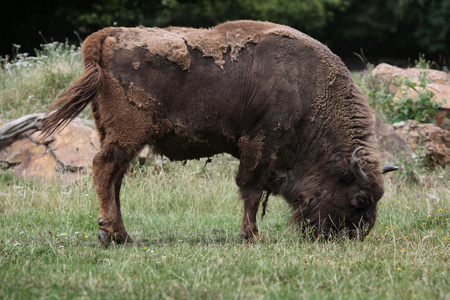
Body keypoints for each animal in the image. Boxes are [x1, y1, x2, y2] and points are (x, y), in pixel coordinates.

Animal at [43, 19, 398, 247]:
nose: (355, 236)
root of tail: (108, 35)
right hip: (129, 132)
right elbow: (250, 191)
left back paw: (122, 235)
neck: (308, 90)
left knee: (114, 178)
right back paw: (112, 234)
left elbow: (254, 192)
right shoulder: (260, 144)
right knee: (105, 168)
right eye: (360, 199)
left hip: (115, 133)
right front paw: (252, 236)